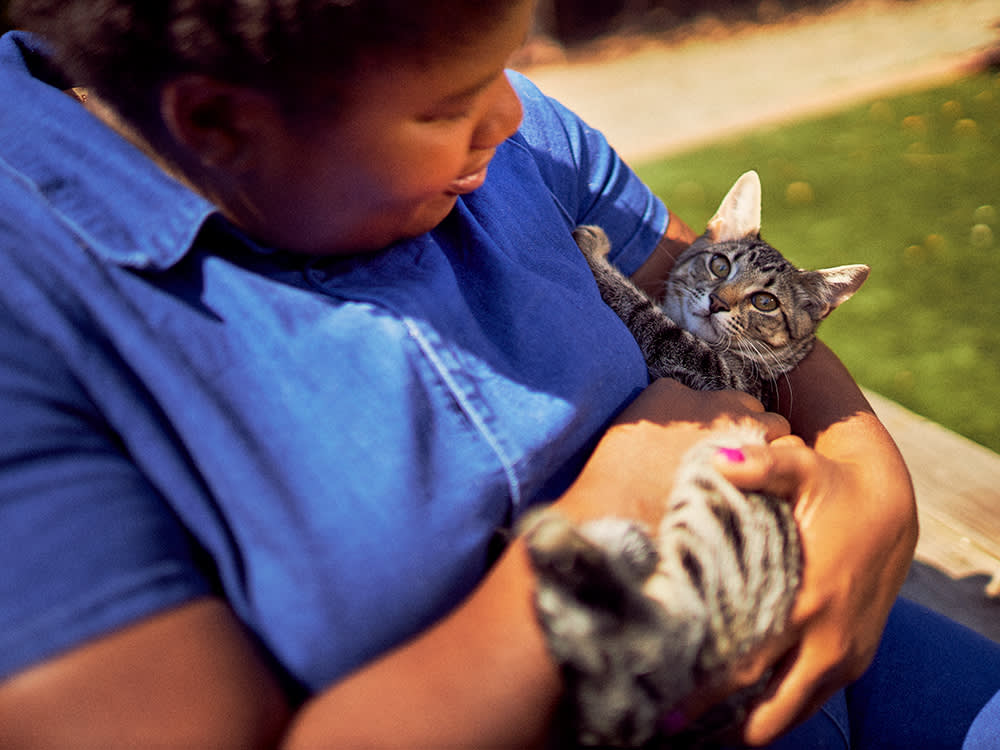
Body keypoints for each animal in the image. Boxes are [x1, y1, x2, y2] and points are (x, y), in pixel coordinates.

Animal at [524, 173, 868, 748]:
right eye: (720, 265)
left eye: (765, 302)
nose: (718, 302)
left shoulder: (710, 370)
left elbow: (645, 315)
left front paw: (596, 254)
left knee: (665, 632)